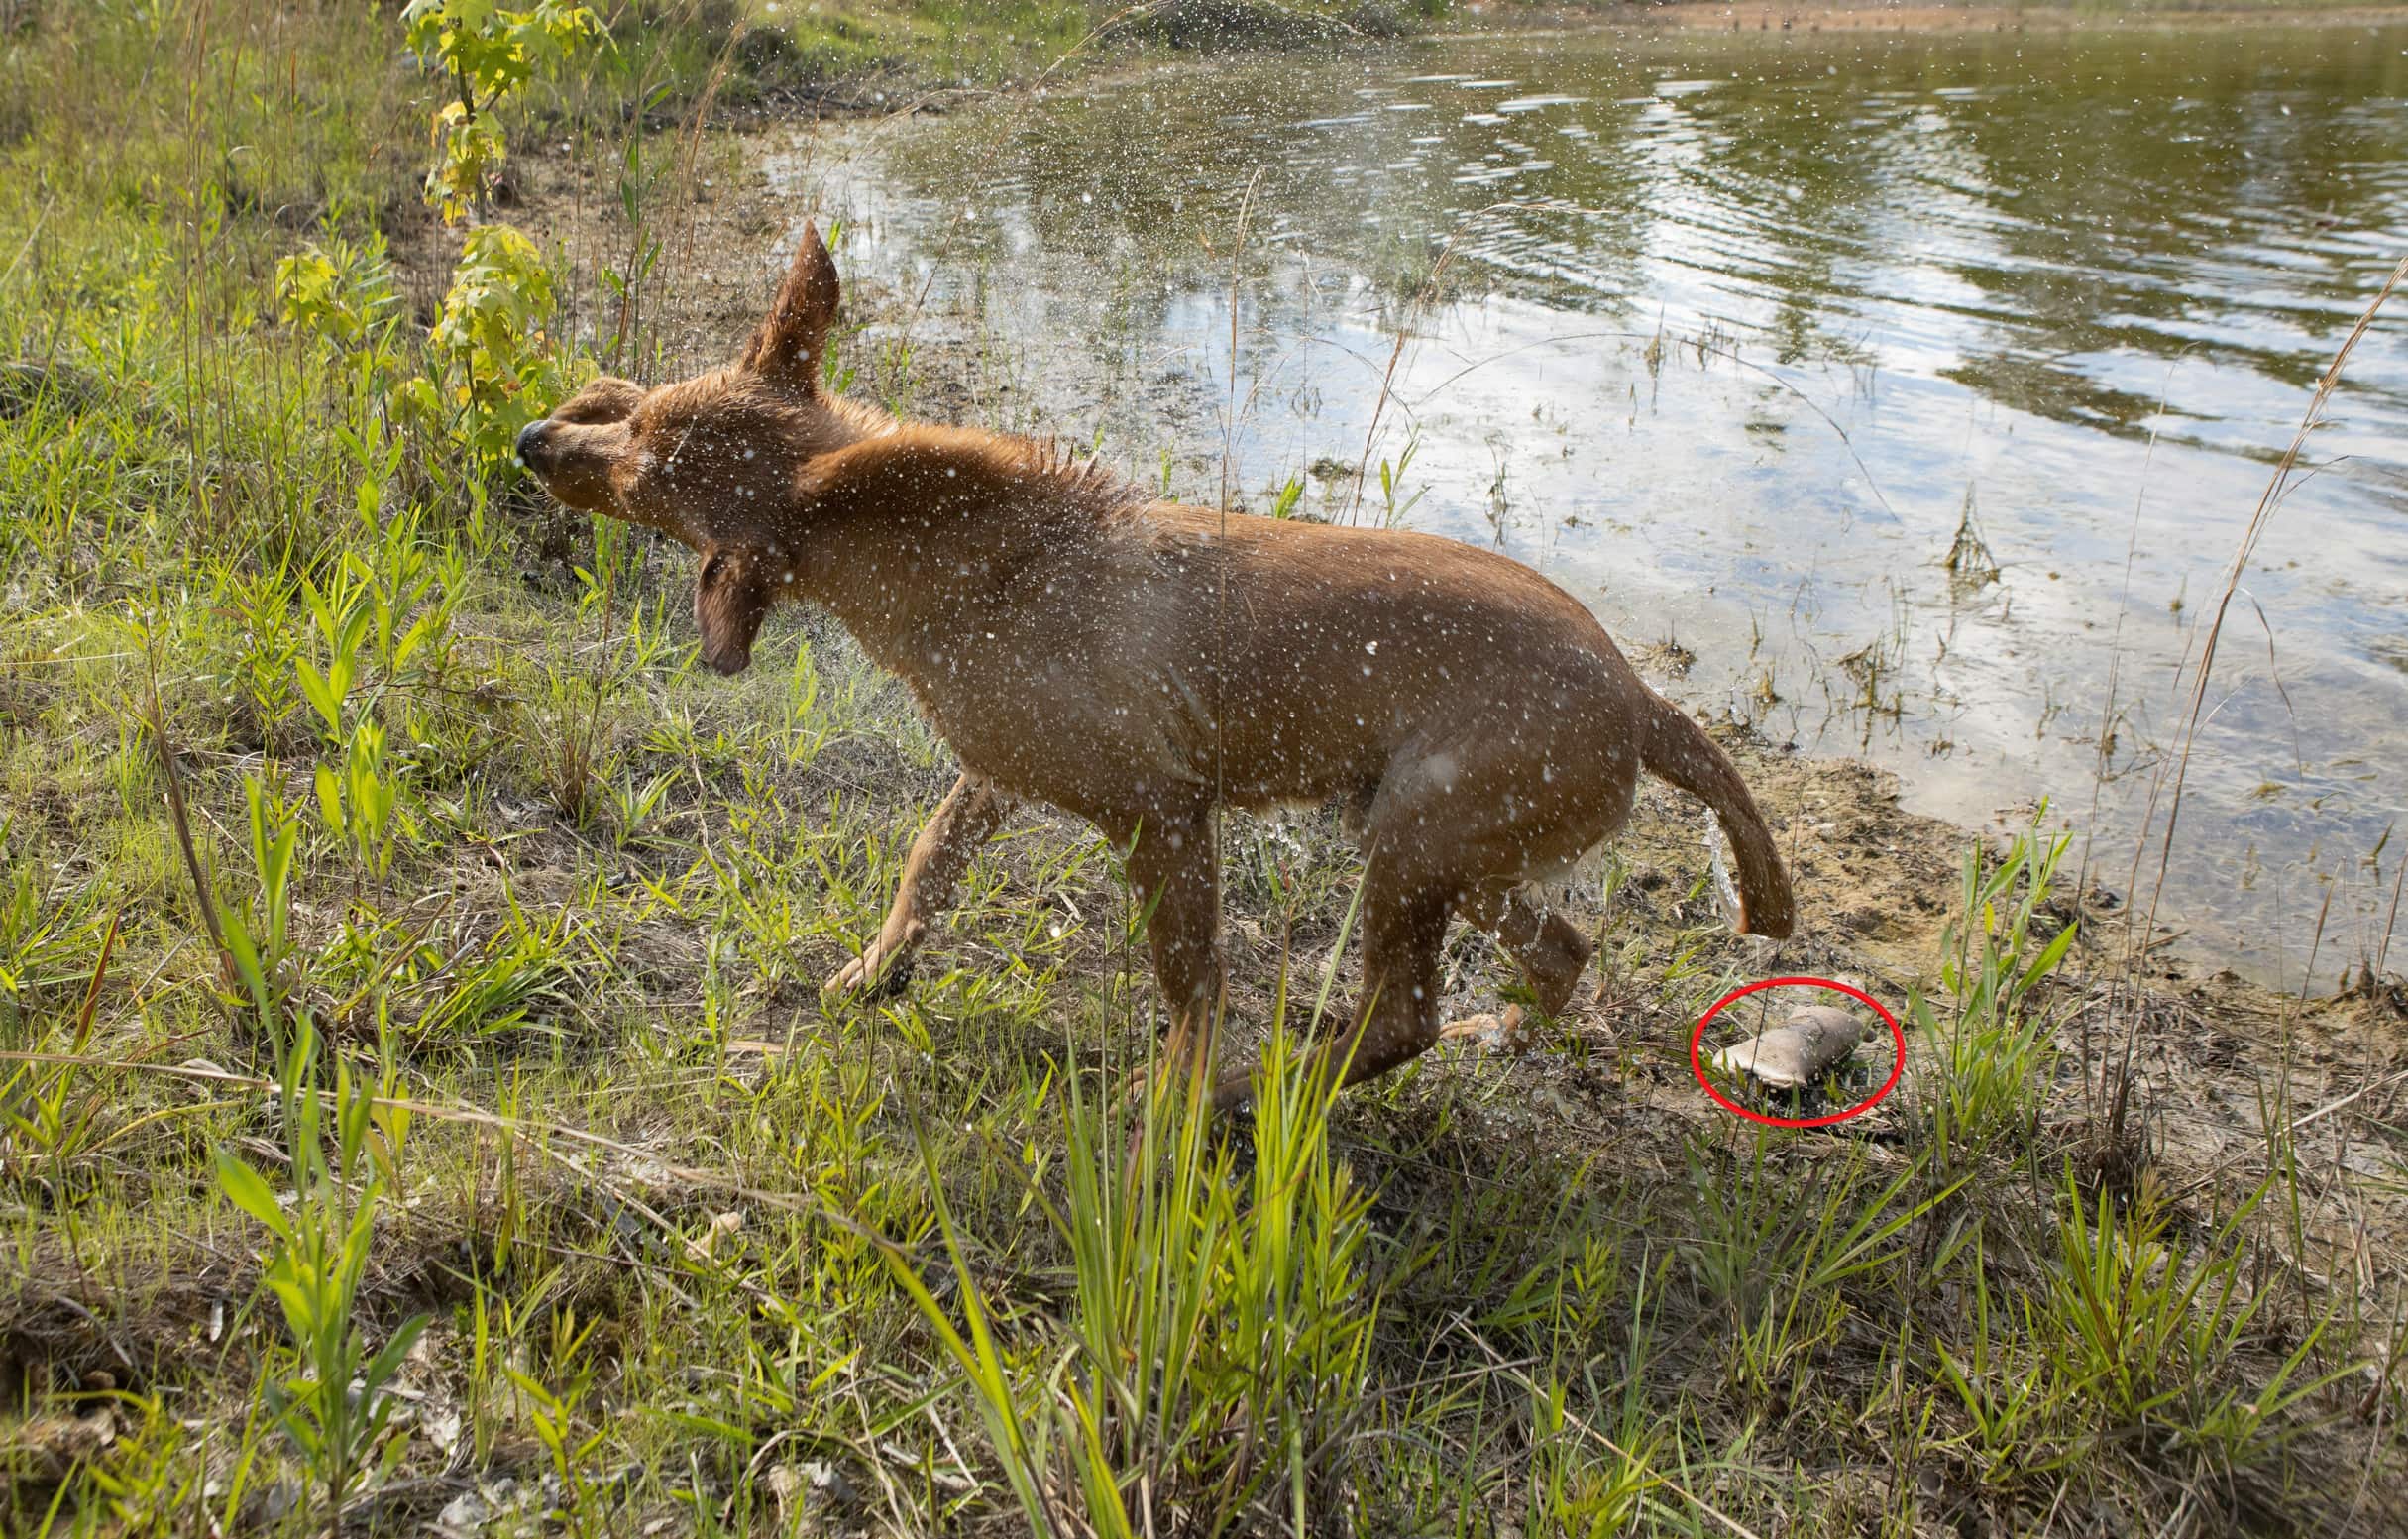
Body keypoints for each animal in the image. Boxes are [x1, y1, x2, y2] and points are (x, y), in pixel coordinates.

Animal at [517, 222, 1791, 1107]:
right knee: (1555, 953)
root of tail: (1645, 698)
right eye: (638, 418)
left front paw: (1176, 1094)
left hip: (1416, 840)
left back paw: (1265, 1093)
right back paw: (1500, 1030)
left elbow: (1192, 982)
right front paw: (874, 970)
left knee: (1401, 1018)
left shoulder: (1163, 813)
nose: (531, 437)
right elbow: (927, 863)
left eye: (637, 470)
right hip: (1446, 846)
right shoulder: (997, 771)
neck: (964, 563)